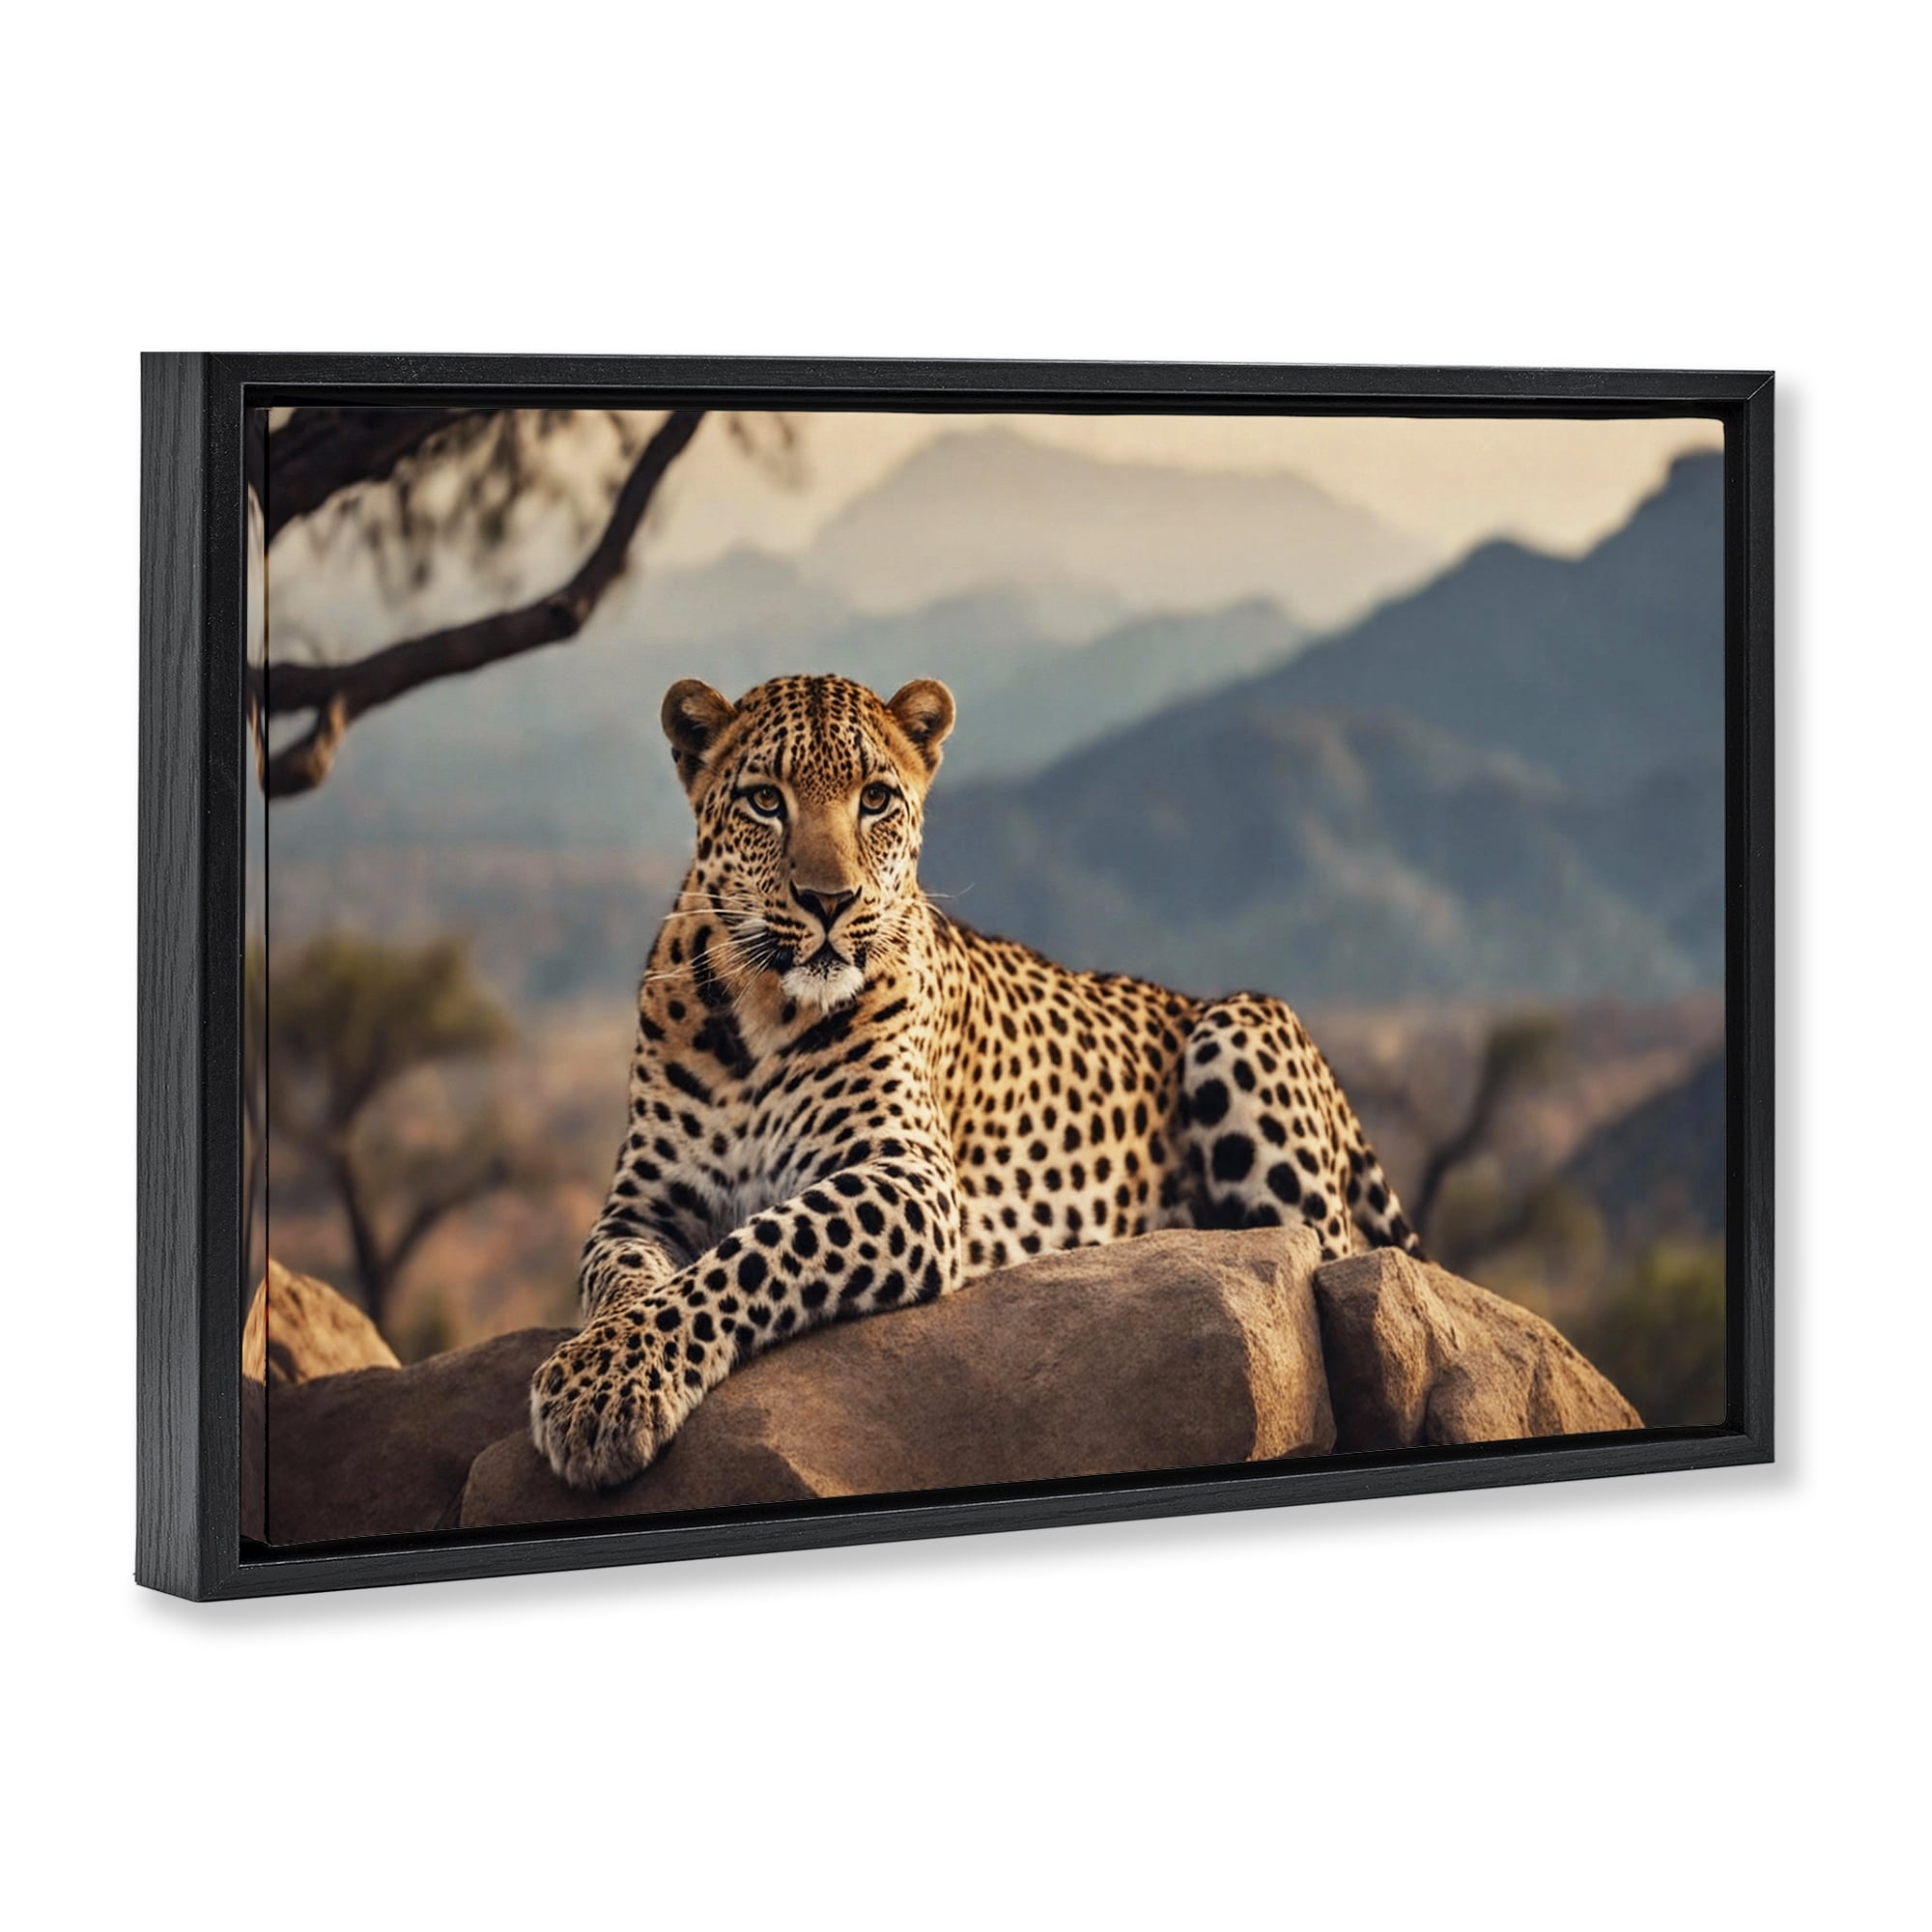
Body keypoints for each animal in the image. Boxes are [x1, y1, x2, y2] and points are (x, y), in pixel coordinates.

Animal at [530, 671, 1423, 1490]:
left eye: (876, 799)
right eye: (764, 801)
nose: (829, 901)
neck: (761, 1011)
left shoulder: (906, 1177)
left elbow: (753, 1251)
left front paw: (602, 1388)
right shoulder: (642, 1203)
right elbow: (623, 1278)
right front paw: (599, 1364)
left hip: (1243, 1031)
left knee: (1322, 1253)